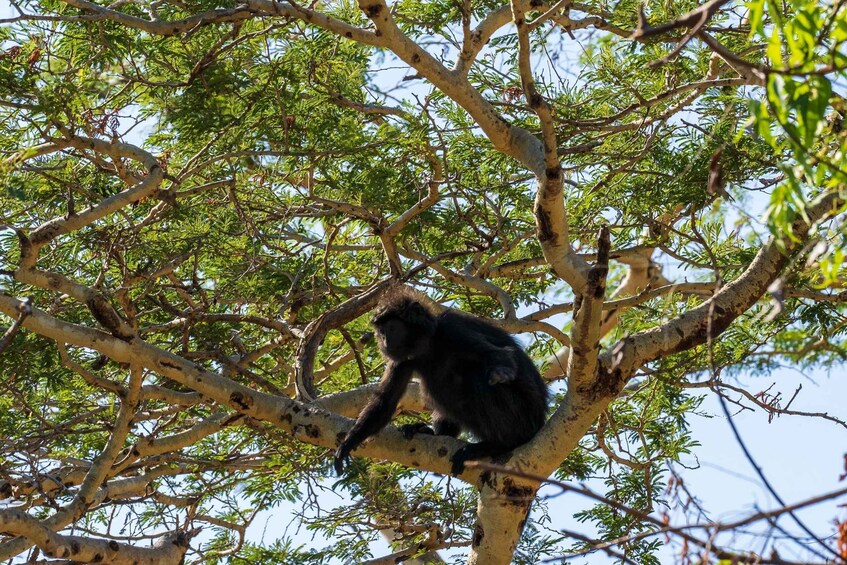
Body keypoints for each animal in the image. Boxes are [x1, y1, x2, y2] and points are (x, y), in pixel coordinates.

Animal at [333, 287, 549, 476]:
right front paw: (349, 442)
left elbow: (497, 355)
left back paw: (501, 444)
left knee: (477, 378)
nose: (384, 341)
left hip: (525, 418)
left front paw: (500, 373)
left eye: (391, 328)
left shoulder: (452, 329)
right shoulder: (403, 360)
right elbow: (385, 401)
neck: (429, 343)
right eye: (381, 331)